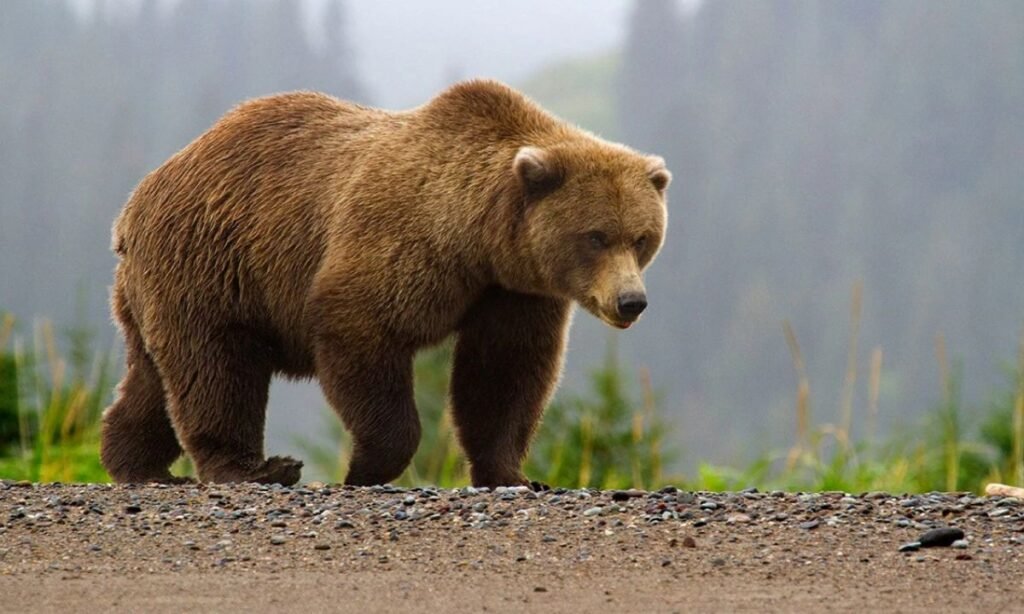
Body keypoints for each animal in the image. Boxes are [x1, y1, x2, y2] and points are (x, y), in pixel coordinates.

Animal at [99, 79, 670, 488]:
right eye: (595, 236)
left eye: (642, 237)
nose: (631, 301)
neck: (478, 239)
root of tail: (136, 202)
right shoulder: (402, 242)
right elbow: (361, 330)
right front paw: (365, 467)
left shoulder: (513, 291)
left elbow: (504, 373)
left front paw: (514, 474)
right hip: (213, 263)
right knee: (217, 368)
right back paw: (255, 468)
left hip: (161, 287)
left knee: (153, 377)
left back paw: (136, 463)